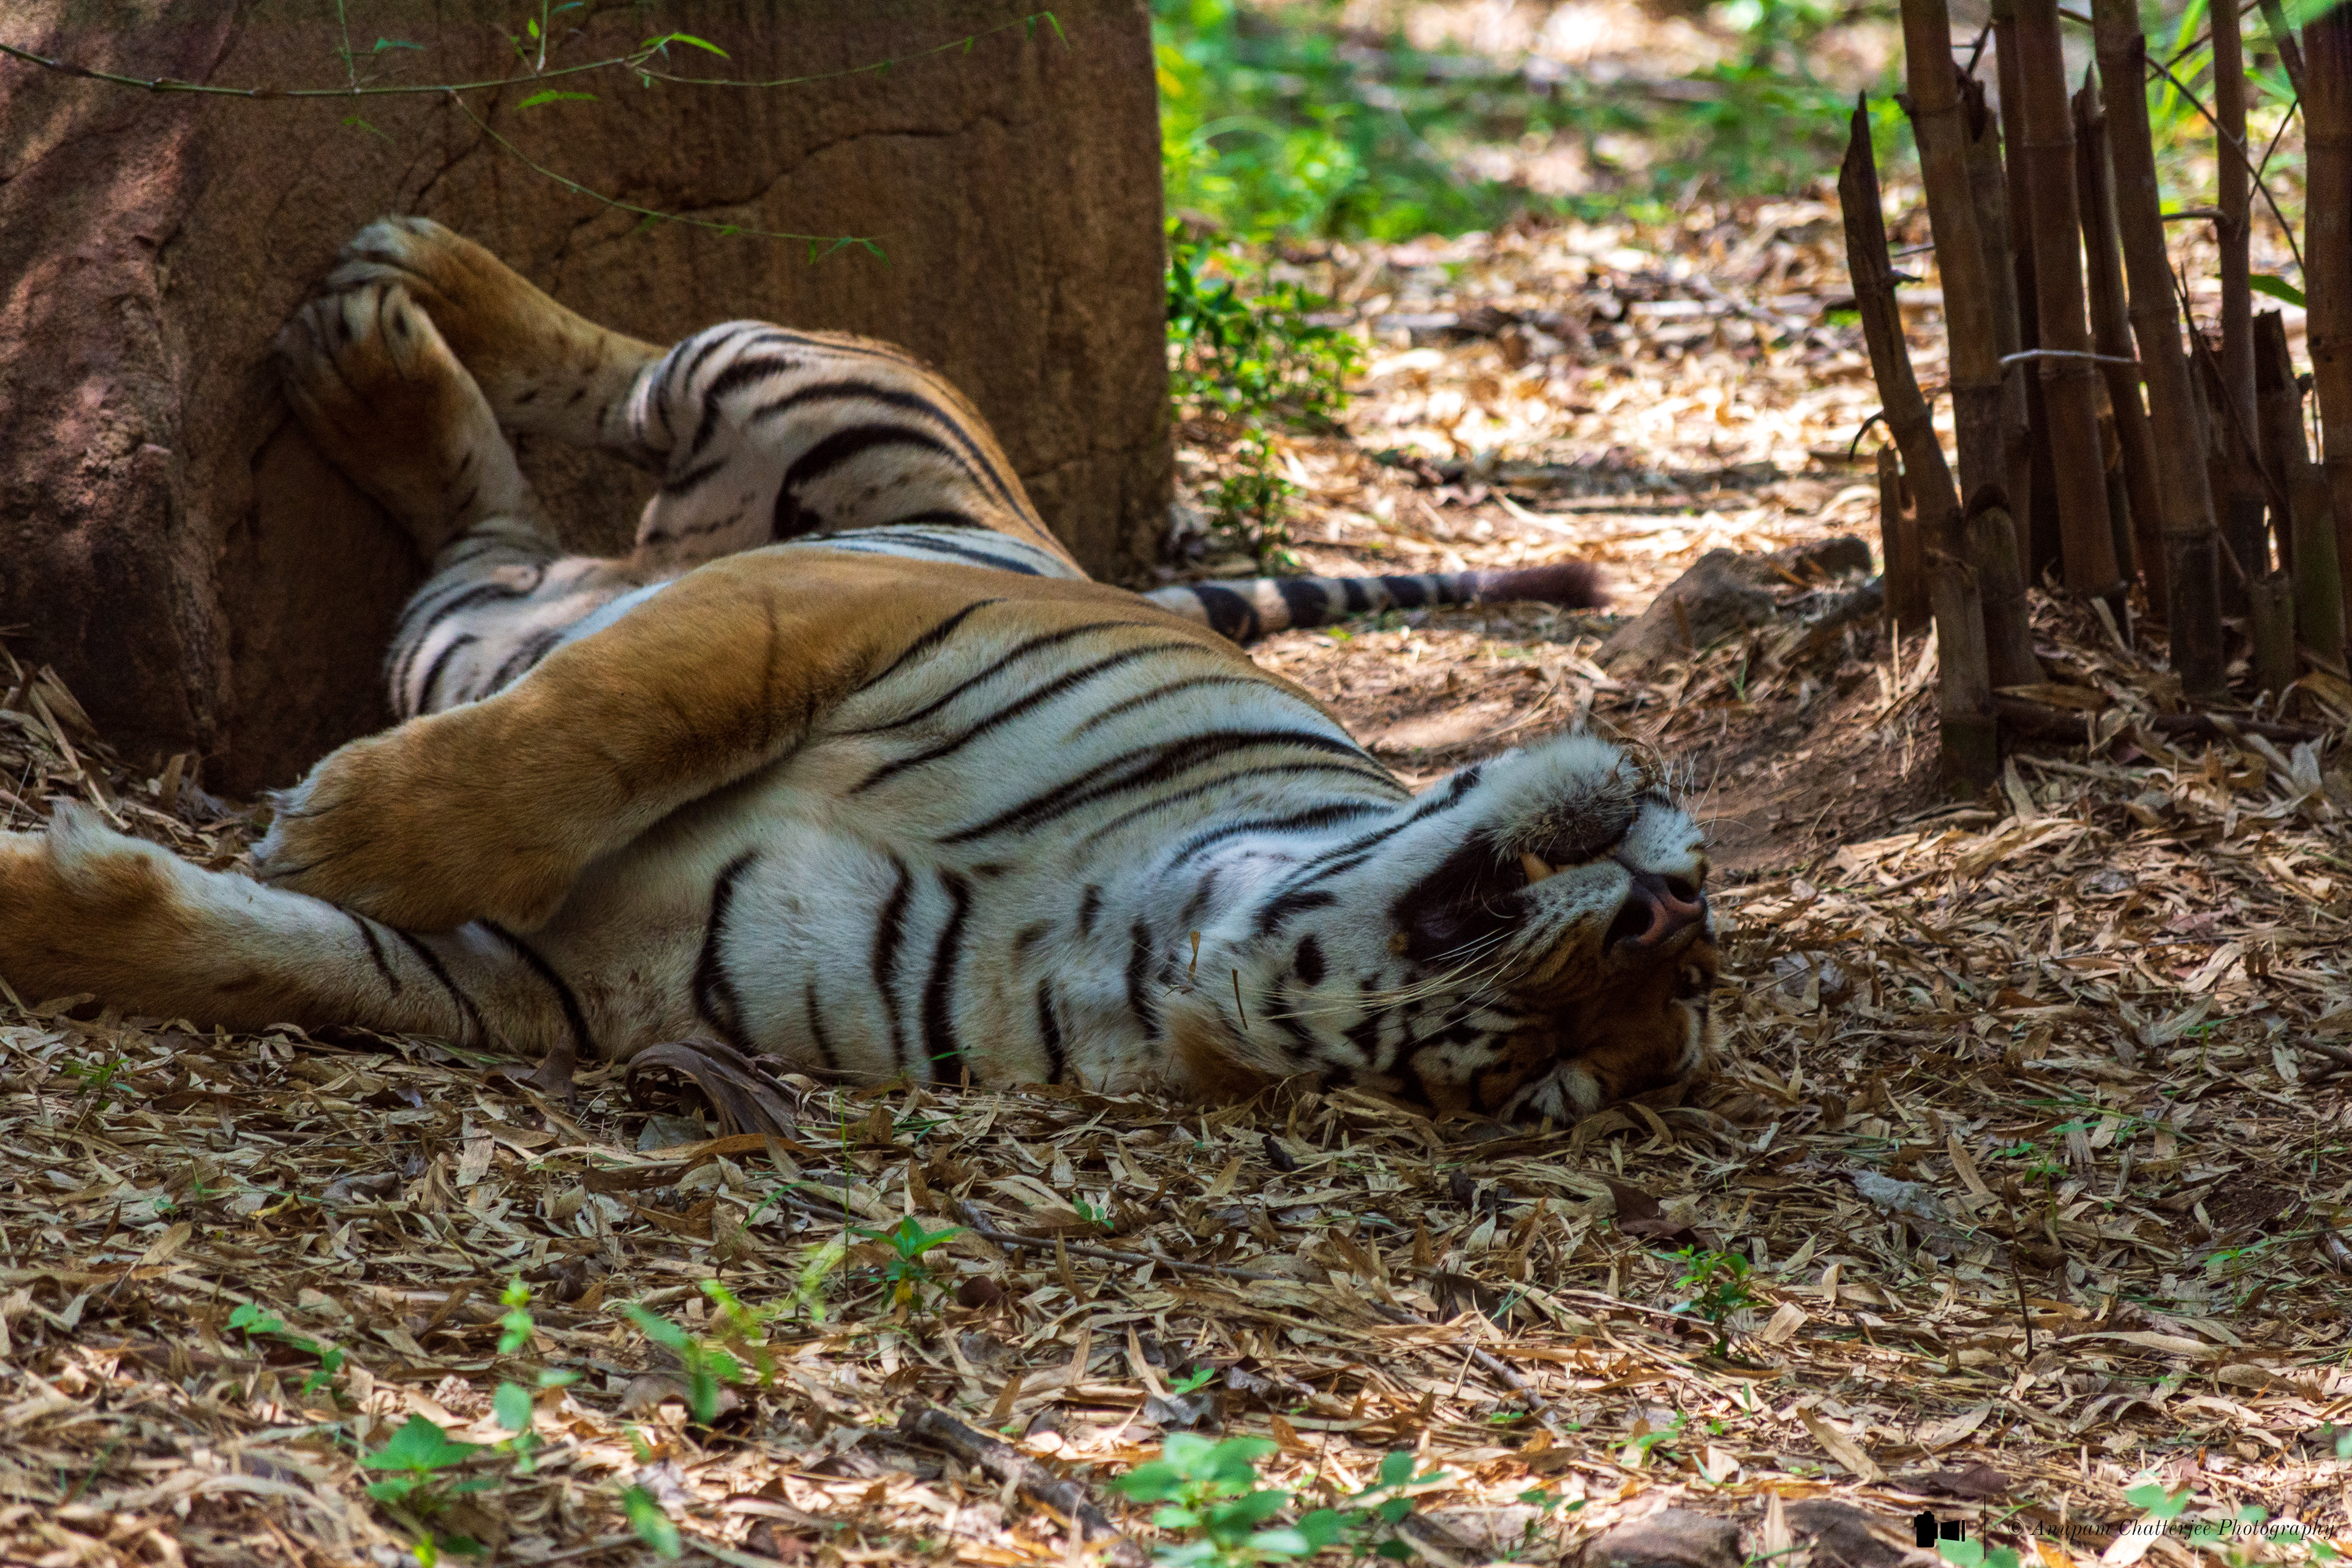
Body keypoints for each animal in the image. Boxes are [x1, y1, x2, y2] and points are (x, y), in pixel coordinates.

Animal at [0, 217, 1716, 1124]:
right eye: (1694, 931)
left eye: (1546, 1071)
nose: (1666, 908)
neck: (1123, 932)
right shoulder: (837, 606)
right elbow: (593, 734)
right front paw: (354, 830)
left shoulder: (558, 973)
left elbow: (271, 955)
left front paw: (73, 906)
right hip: (821, 410)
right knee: (634, 376)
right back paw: (393, 287)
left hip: (483, 603)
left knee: (488, 529)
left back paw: (365, 365)